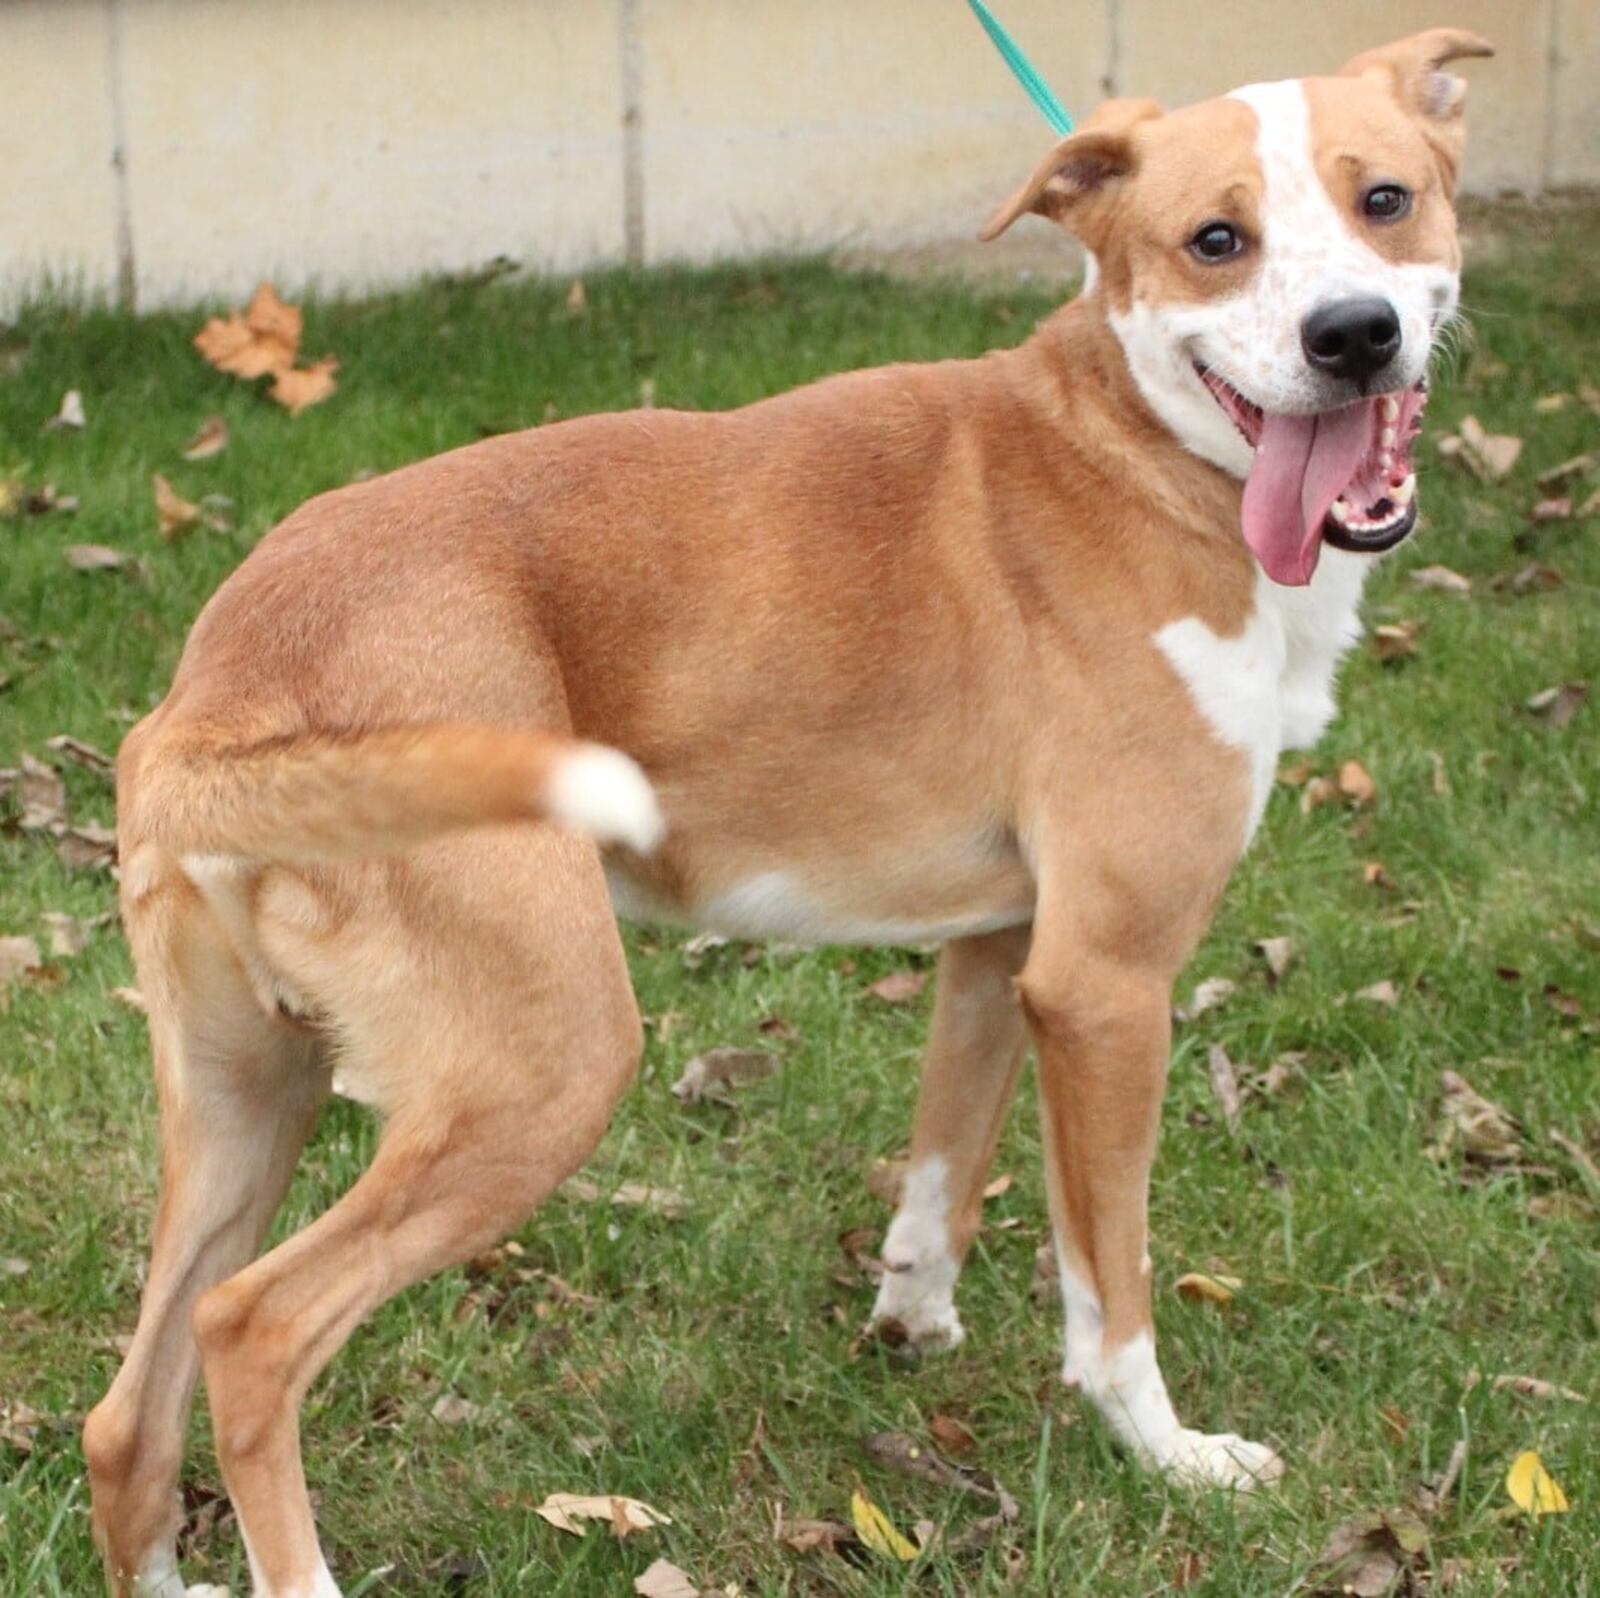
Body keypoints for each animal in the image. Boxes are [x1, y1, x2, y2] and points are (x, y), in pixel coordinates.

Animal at [84, 28, 1484, 1598]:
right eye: (1214, 240)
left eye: (1386, 199)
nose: (1354, 334)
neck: (1131, 445)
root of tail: (223, 694)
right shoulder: (1111, 984)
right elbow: (1108, 1275)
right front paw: (1168, 1452)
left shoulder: (1007, 954)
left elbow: (945, 1164)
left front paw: (912, 1326)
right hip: (541, 1073)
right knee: (251, 1330)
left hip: (245, 1102)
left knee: (128, 1410)